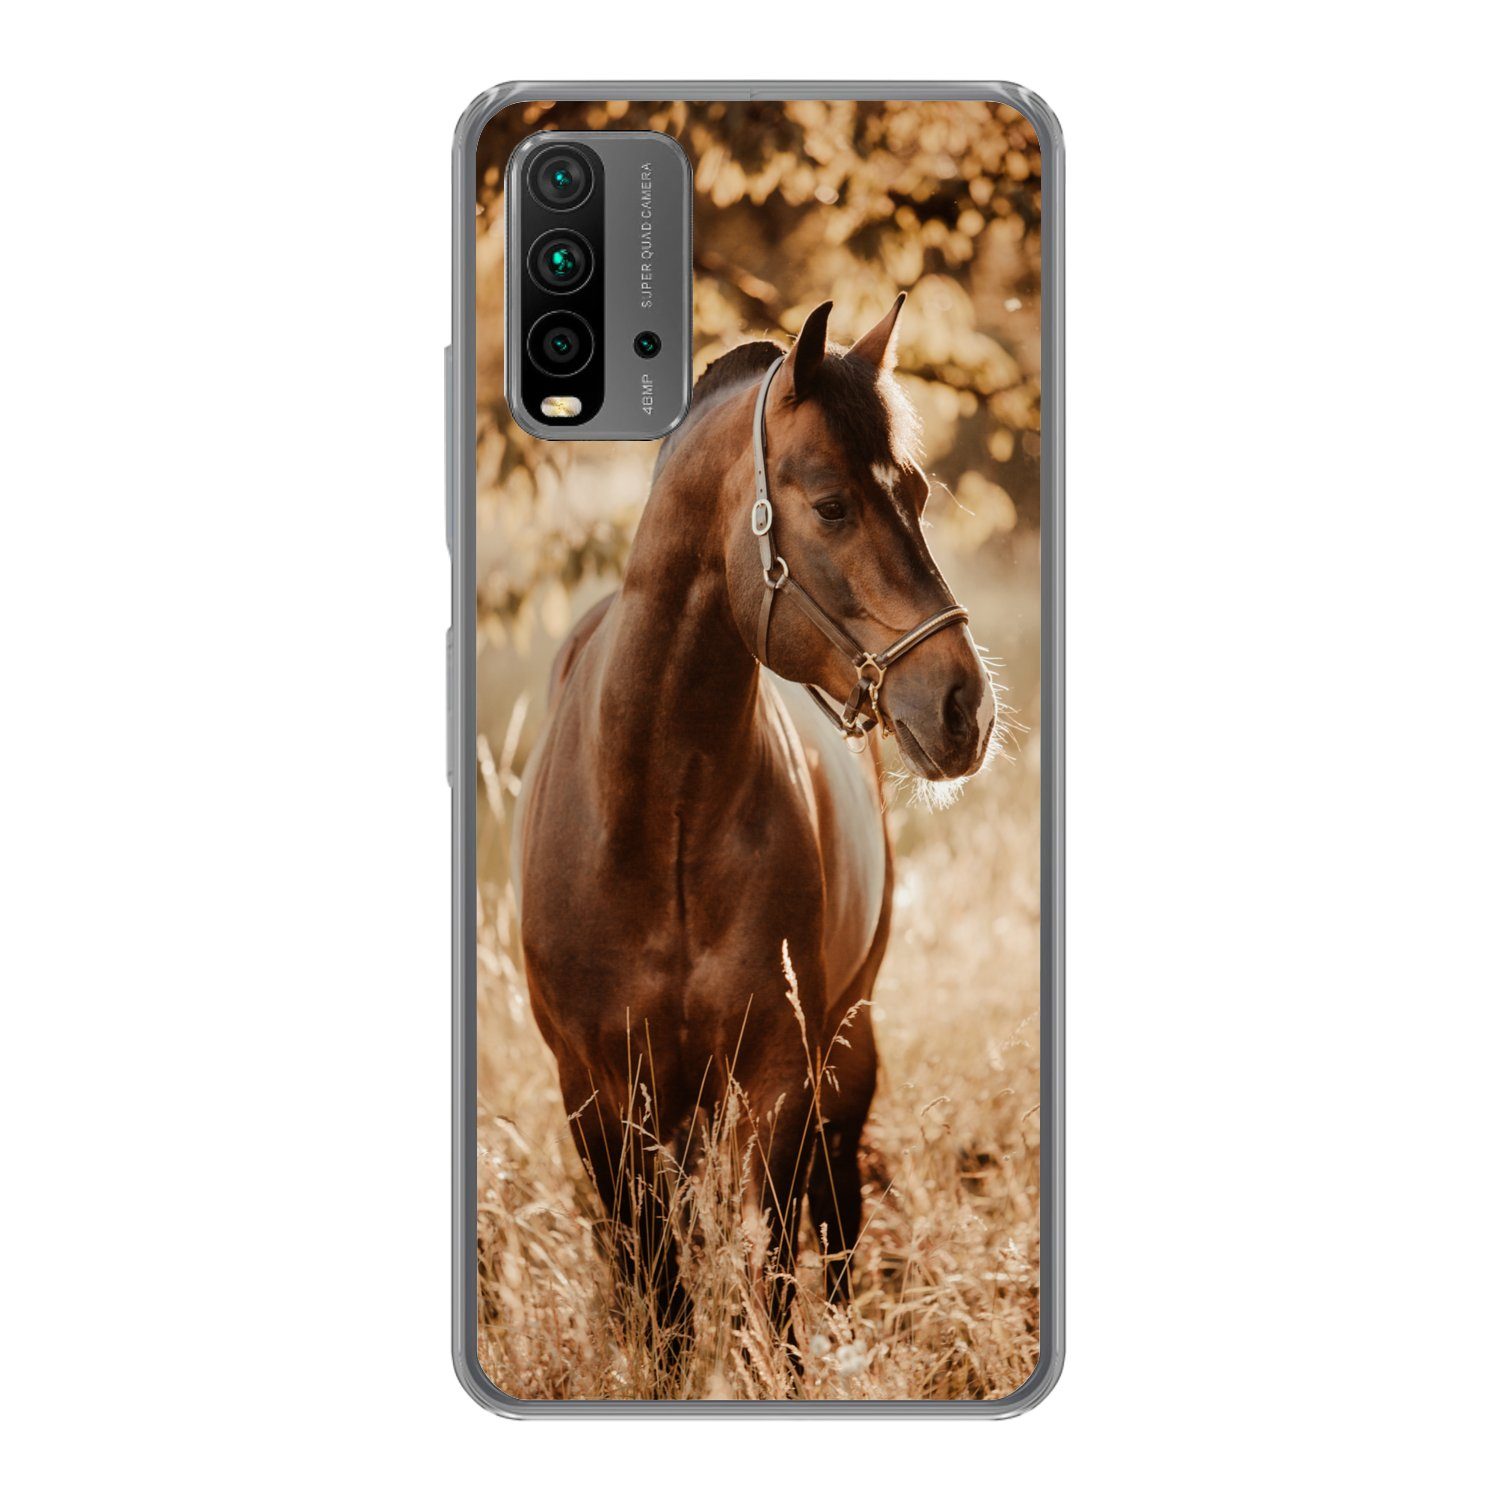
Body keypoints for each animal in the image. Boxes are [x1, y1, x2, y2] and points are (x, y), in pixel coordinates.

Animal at [515, 294, 996, 1365]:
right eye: (832, 506)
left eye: (918, 490)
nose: (965, 708)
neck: (658, 816)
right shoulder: (599, 1095)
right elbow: (660, 1298)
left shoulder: (779, 1078)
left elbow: (774, 1281)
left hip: (845, 1053)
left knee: (837, 1219)